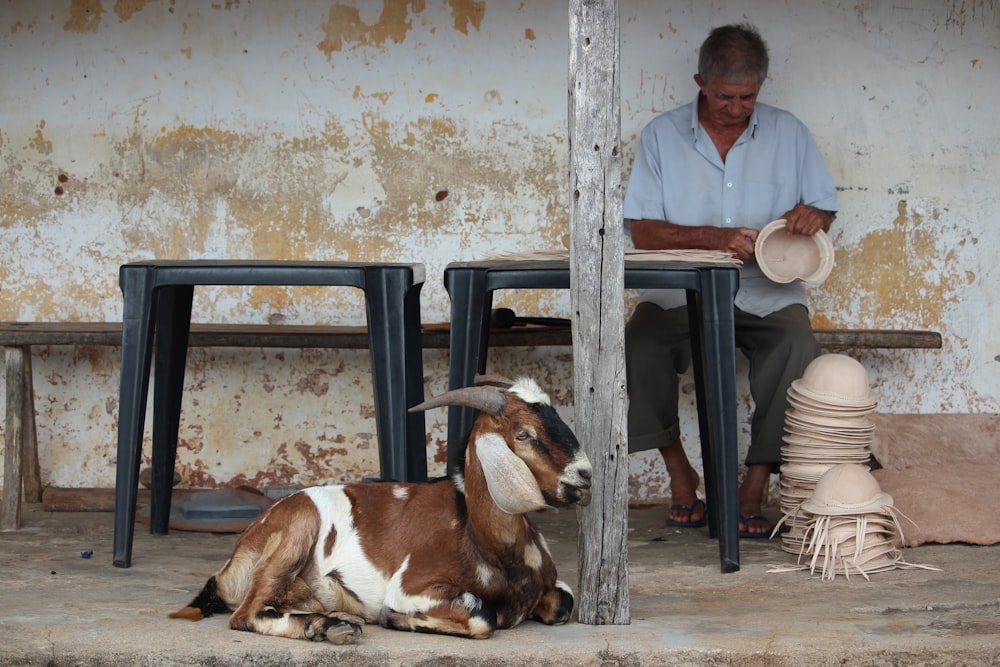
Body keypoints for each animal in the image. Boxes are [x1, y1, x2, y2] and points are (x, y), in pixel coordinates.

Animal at [171, 376, 592, 640]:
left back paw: (336, 618)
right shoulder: (412, 586)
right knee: (246, 614)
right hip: (295, 529)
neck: (489, 544)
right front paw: (395, 619)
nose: (584, 475)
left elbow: (564, 601)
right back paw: (331, 629)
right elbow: (482, 616)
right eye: (523, 434)